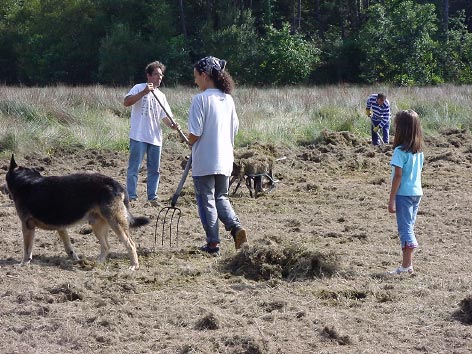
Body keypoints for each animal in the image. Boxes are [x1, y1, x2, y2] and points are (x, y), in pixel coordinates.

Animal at [5, 156, 149, 272]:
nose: (3, 190)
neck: (24, 180)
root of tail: (116, 184)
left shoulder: (27, 226)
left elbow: (27, 249)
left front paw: (23, 263)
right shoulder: (61, 228)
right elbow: (69, 247)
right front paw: (75, 259)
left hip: (116, 223)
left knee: (130, 244)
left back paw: (134, 265)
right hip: (97, 225)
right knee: (106, 247)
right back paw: (97, 263)